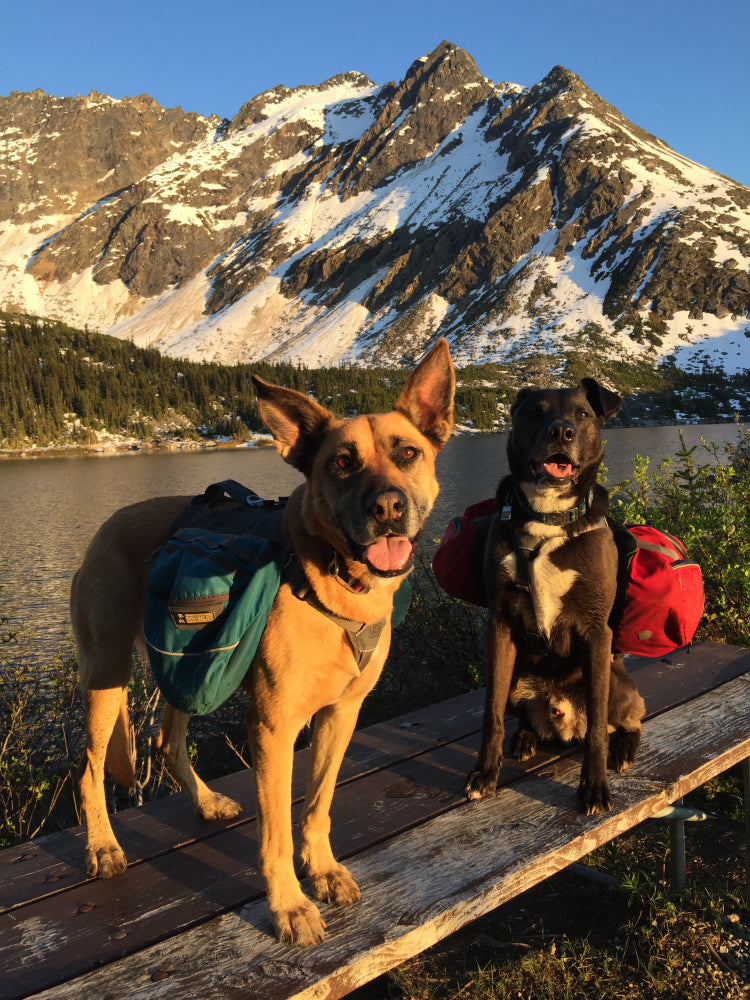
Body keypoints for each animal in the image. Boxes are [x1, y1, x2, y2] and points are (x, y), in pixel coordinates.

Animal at [73, 338, 456, 944]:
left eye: (408, 453)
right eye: (342, 463)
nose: (388, 508)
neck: (334, 582)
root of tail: (107, 523)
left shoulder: (341, 714)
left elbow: (317, 805)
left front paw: (321, 871)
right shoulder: (273, 728)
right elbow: (276, 831)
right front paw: (289, 906)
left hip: (188, 668)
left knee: (167, 740)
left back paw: (204, 801)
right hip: (107, 674)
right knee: (89, 770)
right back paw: (103, 846)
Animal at [468, 376, 632, 812]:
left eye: (583, 413)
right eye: (534, 412)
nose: (561, 432)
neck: (548, 516)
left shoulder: (596, 632)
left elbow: (597, 731)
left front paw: (594, 787)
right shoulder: (500, 626)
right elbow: (490, 713)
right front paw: (485, 773)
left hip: (613, 680)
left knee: (623, 721)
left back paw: (624, 749)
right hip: (517, 679)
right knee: (521, 716)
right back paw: (525, 738)